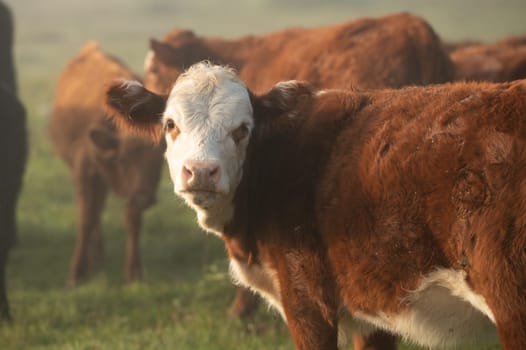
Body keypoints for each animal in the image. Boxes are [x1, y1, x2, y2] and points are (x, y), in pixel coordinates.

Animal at [50, 42, 165, 286]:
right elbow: (86, 218)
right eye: (123, 159)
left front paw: (133, 273)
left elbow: (132, 221)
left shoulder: (132, 190)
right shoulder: (84, 170)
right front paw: (77, 273)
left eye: (159, 161)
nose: (144, 198)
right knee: (92, 210)